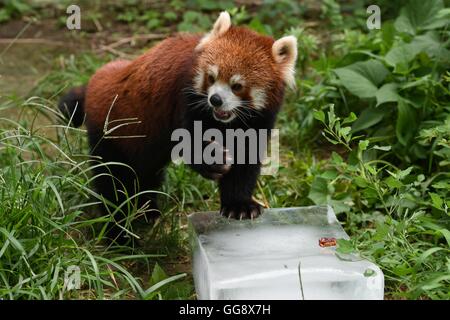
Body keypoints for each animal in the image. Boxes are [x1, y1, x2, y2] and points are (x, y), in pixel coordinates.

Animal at [59, 11, 298, 240]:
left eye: (237, 86)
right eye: (211, 77)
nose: (215, 100)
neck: (227, 121)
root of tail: (96, 80)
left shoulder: (259, 119)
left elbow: (245, 160)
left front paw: (239, 205)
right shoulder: (184, 95)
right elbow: (188, 142)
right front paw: (213, 160)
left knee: (146, 174)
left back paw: (146, 210)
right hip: (111, 132)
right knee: (113, 183)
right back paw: (118, 234)